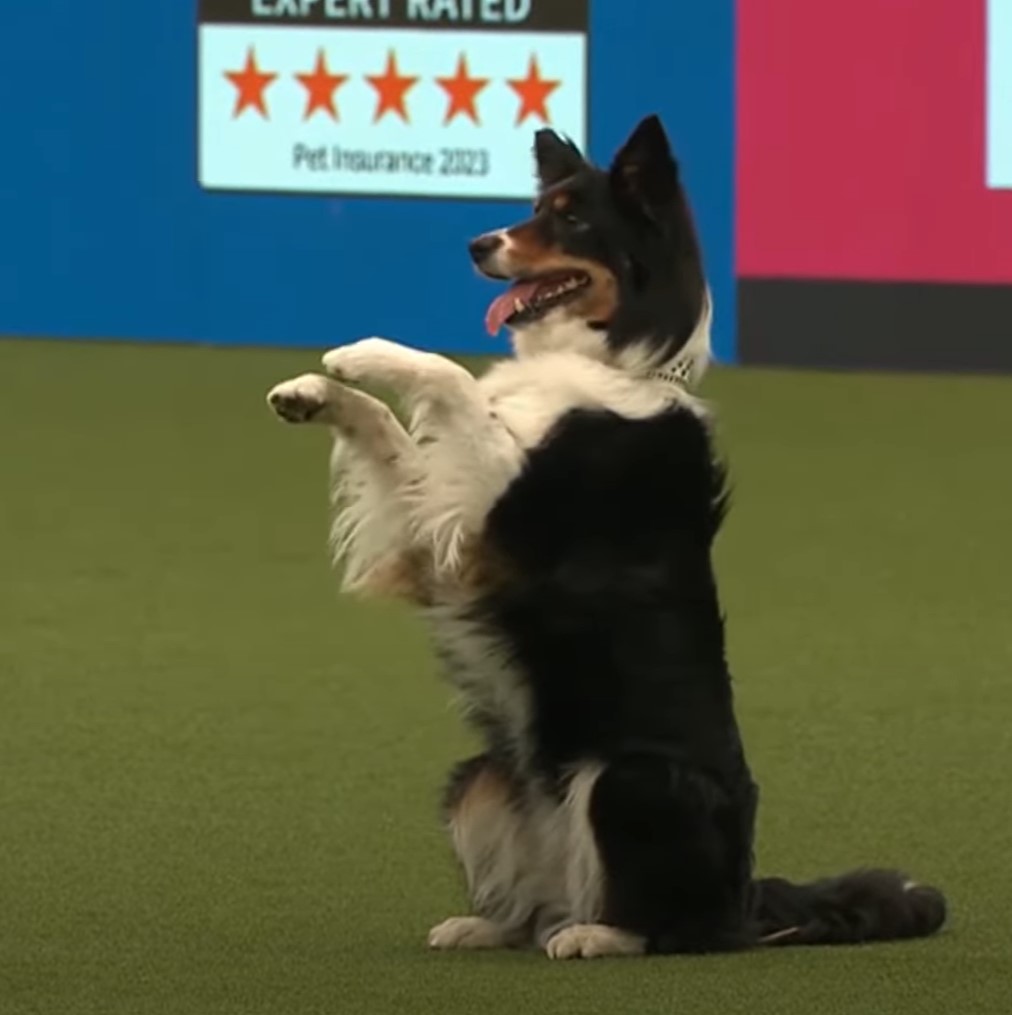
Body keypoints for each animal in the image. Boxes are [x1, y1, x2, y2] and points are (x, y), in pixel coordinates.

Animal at [263, 115, 941, 954]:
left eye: (572, 219)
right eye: (535, 207)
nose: (477, 244)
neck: (611, 365)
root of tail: (749, 894)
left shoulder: (495, 517)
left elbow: (450, 380)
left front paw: (365, 352)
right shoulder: (435, 544)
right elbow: (393, 428)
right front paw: (311, 392)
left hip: (630, 779)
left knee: (680, 926)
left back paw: (599, 936)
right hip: (481, 775)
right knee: (540, 902)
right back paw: (490, 923)